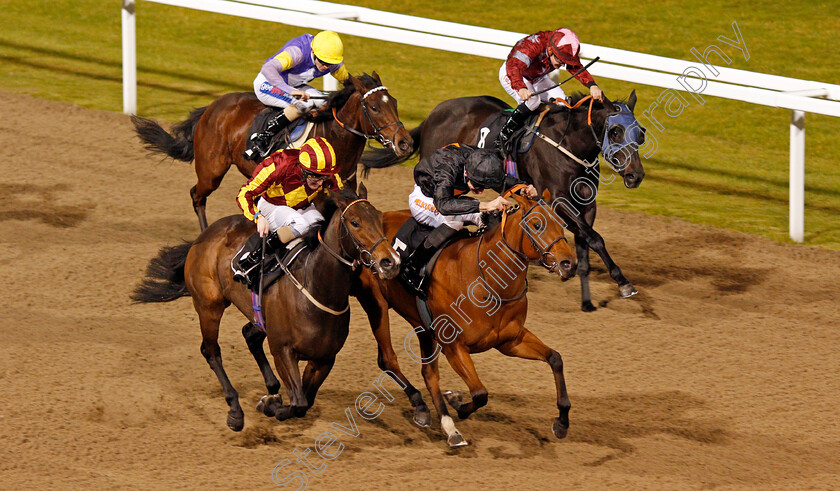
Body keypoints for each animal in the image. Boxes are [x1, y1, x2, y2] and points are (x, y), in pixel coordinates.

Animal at [130, 73, 414, 233]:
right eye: (374, 107)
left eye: (395, 102)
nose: (405, 143)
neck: (332, 140)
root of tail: (212, 106)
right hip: (212, 170)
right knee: (197, 196)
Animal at [131, 186, 400, 432]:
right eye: (355, 222)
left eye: (379, 219)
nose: (390, 262)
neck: (314, 288)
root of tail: (204, 235)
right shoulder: (282, 350)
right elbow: (299, 403)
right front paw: (269, 405)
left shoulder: (324, 358)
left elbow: (306, 401)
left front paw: (272, 400)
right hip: (209, 305)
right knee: (211, 351)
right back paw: (235, 410)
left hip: (257, 315)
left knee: (248, 335)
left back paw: (270, 388)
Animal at [352, 189, 576, 450]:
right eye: (536, 224)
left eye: (562, 223)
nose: (569, 264)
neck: (488, 281)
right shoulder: (454, 347)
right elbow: (480, 393)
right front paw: (457, 402)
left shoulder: (511, 341)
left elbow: (555, 358)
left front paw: (562, 422)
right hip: (376, 305)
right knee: (388, 360)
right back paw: (432, 412)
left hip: (421, 324)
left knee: (428, 373)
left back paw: (444, 424)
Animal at [360, 92, 644, 312]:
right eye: (615, 131)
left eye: (640, 133)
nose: (636, 175)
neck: (568, 145)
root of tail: (434, 113)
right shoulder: (560, 201)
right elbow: (595, 238)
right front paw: (623, 283)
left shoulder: (586, 204)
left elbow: (586, 243)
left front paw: (586, 298)